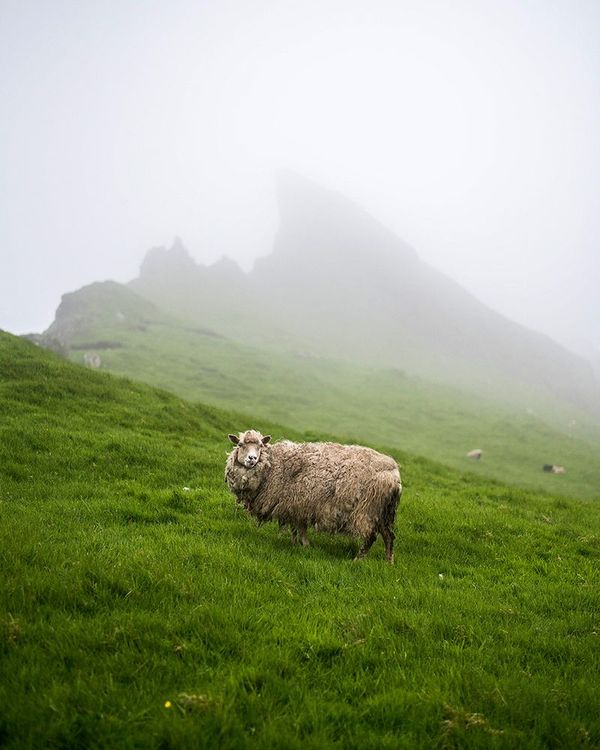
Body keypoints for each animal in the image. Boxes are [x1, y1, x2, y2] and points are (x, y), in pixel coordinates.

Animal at [225, 429, 402, 562]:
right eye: (240, 444)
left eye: (260, 446)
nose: (252, 458)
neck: (272, 465)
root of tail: (395, 475)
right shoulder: (296, 506)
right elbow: (296, 528)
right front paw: (297, 544)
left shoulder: (296, 503)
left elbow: (300, 529)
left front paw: (304, 545)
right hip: (383, 512)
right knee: (389, 536)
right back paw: (389, 562)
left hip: (367, 509)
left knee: (370, 537)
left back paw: (357, 560)